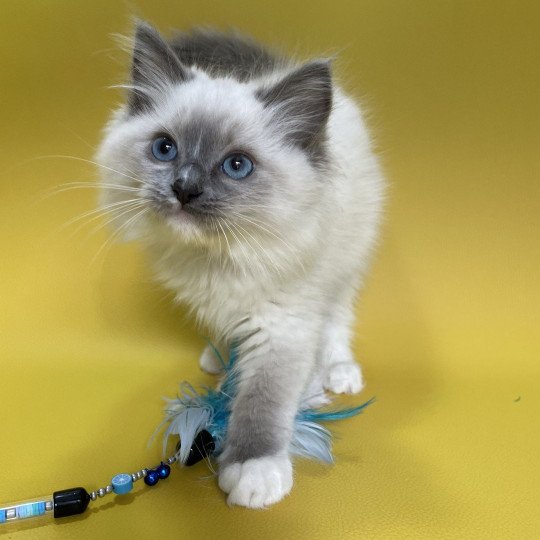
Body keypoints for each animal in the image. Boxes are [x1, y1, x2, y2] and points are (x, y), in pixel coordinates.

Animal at [96, 21, 384, 508]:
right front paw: (224, 367)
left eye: (236, 166)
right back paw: (216, 357)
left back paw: (339, 371)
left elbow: (262, 402)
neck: (219, 257)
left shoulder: (282, 326)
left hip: (346, 263)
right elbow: (227, 335)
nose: (184, 188)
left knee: (337, 318)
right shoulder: (211, 298)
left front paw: (254, 473)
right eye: (164, 148)